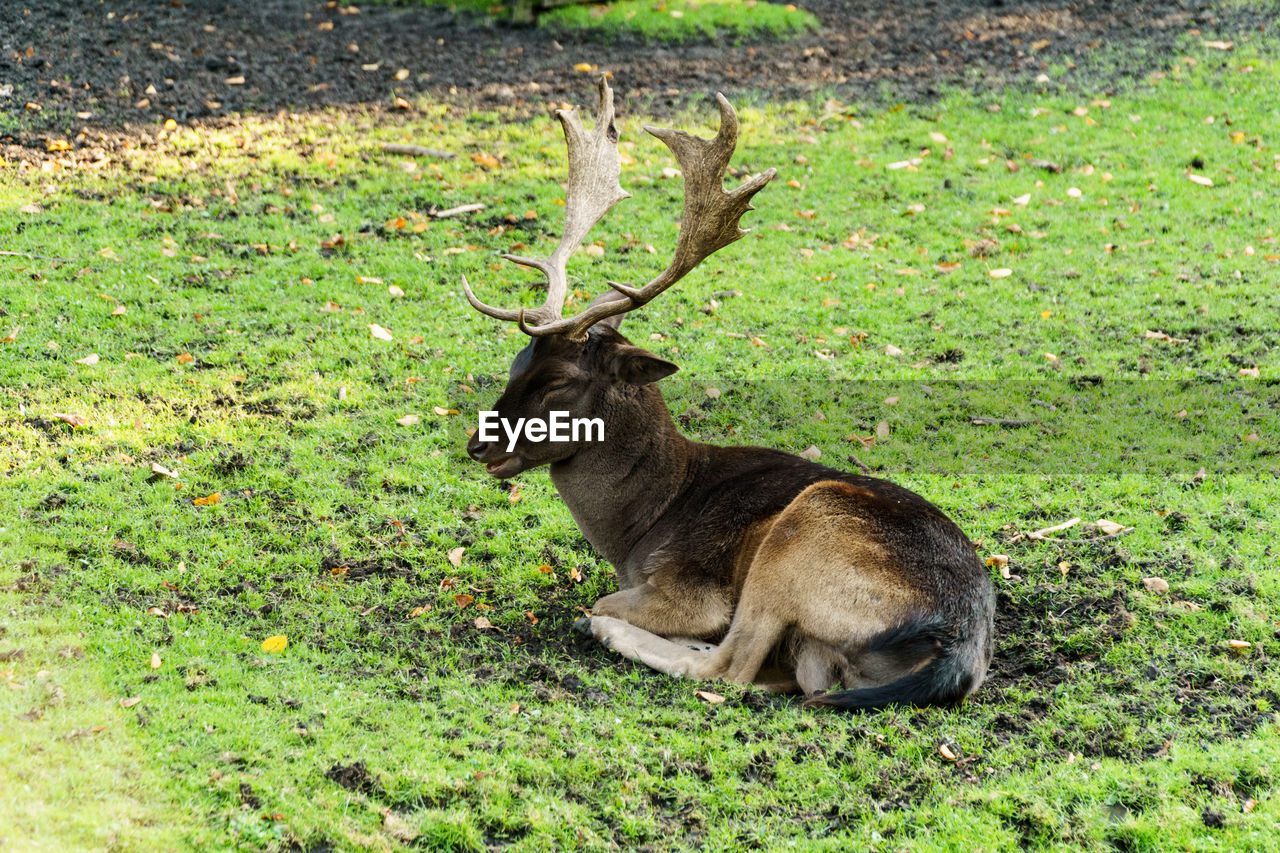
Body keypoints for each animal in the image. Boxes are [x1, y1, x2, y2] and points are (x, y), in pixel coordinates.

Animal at [465, 78, 993, 701]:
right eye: (517, 362)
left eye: (558, 382)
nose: (478, 444)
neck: (642, 527)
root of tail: (954, 650)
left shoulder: (694, 588)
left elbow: (613, 599)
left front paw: (608, 618)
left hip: (806, 531)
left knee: (731, 667)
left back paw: (608, 631)